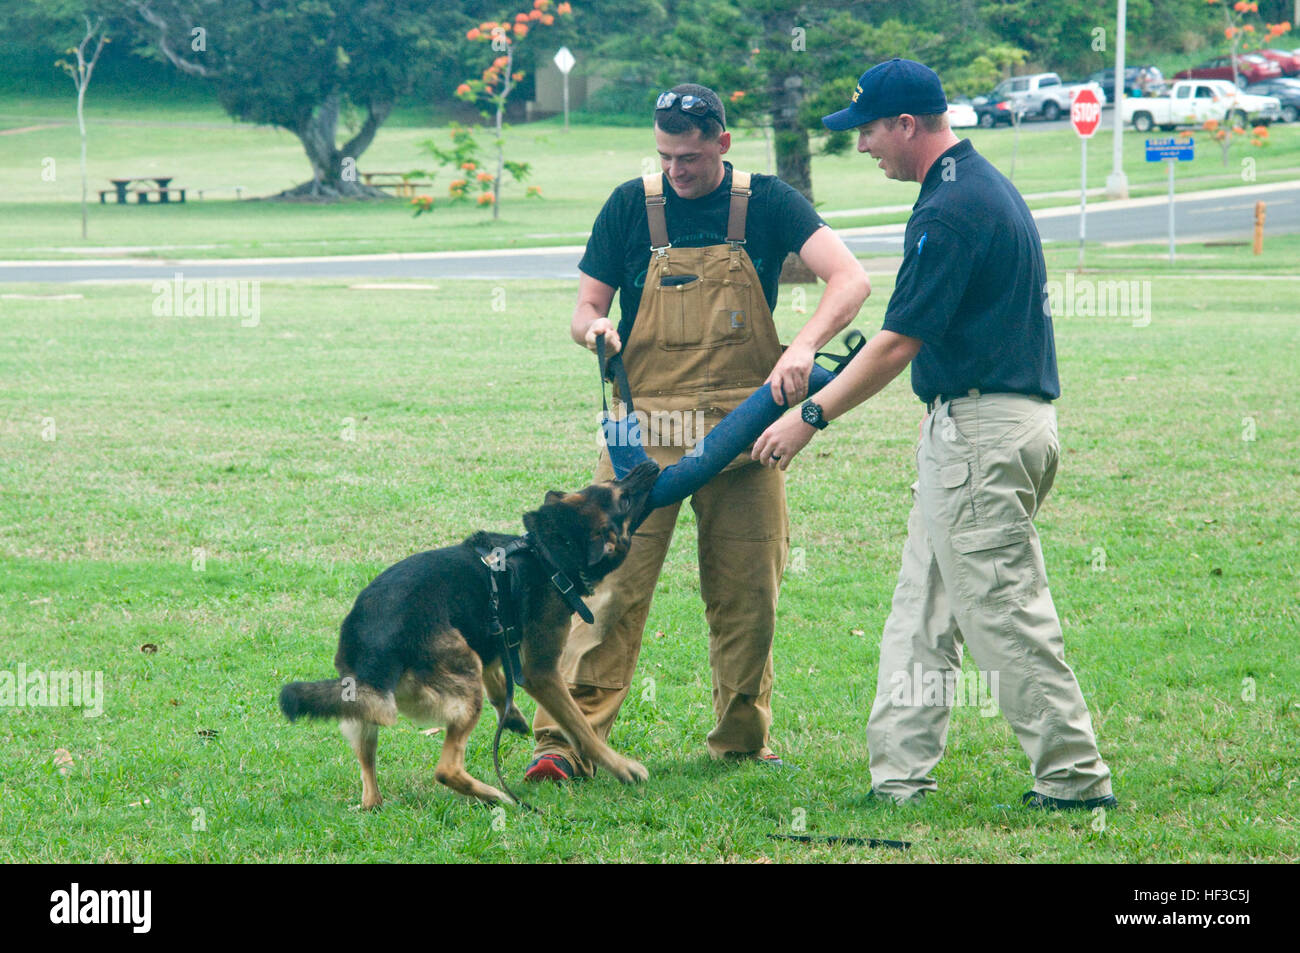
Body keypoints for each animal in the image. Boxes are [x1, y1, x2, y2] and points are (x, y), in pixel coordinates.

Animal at [278, 457, 655, 806]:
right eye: (622, 498)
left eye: (612, 482)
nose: (651, 464)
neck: (547, 549)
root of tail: (377, 651)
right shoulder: (542, 672)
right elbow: (582, 729)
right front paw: (622, 768)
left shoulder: (491, 634)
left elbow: (496, 671)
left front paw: (509, 712)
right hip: (461, 682)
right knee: (446, 769)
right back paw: (497, 797)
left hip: (361, 712)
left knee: (369, 780)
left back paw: (378, 803)